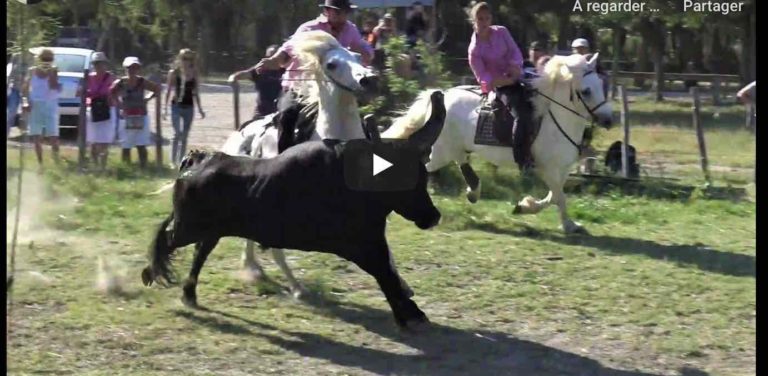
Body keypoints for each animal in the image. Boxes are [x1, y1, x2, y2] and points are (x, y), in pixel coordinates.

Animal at [141, 91, 448, 328]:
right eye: (405, 179)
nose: (433, 217)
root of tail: (197, 158)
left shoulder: (372, 242)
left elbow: (389, 273)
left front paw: (410, 311)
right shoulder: (362, 245)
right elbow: (386, 276)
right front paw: (409, 314)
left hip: (210, 231)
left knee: (198, 252)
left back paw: (189, 293)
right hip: (189, 227)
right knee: (167, 240)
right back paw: (152, 272)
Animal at [382, 53, 612, 232]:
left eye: (602, 85)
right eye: (586, 91)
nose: (609, 120)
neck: (554, 117)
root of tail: (442, 96)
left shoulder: (561, 169)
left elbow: (553, 196)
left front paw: (525, 206)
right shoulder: (548, 169)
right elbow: (559, 197)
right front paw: (569, 225)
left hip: (454, 149)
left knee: (462, 163)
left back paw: (473, 192)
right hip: (441, 152)